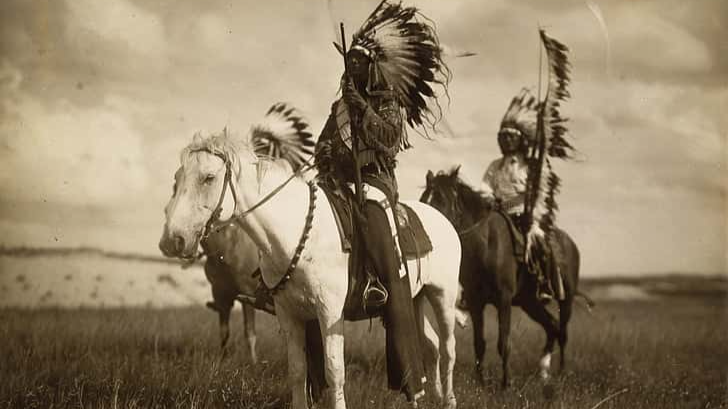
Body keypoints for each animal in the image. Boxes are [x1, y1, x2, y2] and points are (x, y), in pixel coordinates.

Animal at [158, 107, 462, 409]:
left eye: (208, 177)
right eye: (177, 178)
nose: (173, 240)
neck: (296, 235)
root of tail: (443, 220)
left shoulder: (329, 313)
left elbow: (334, 372)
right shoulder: (289, 315)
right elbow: (297, 371)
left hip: (442, 296)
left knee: (448, 348)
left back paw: (448, 400)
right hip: (416, 298)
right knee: (431, 344)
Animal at [420, 166, 591, 389]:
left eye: (441, 199)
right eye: (423, 198)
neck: (485, 245)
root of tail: (570, 244)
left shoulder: (504, 300)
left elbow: (504, 343)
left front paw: (506, 384)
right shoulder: (476, 302)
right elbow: (479, 343)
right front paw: (481, 383)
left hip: (566, 300)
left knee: (562, 332)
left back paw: (561, 371)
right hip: (530, 303)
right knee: (552, 326)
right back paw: (544, 373)